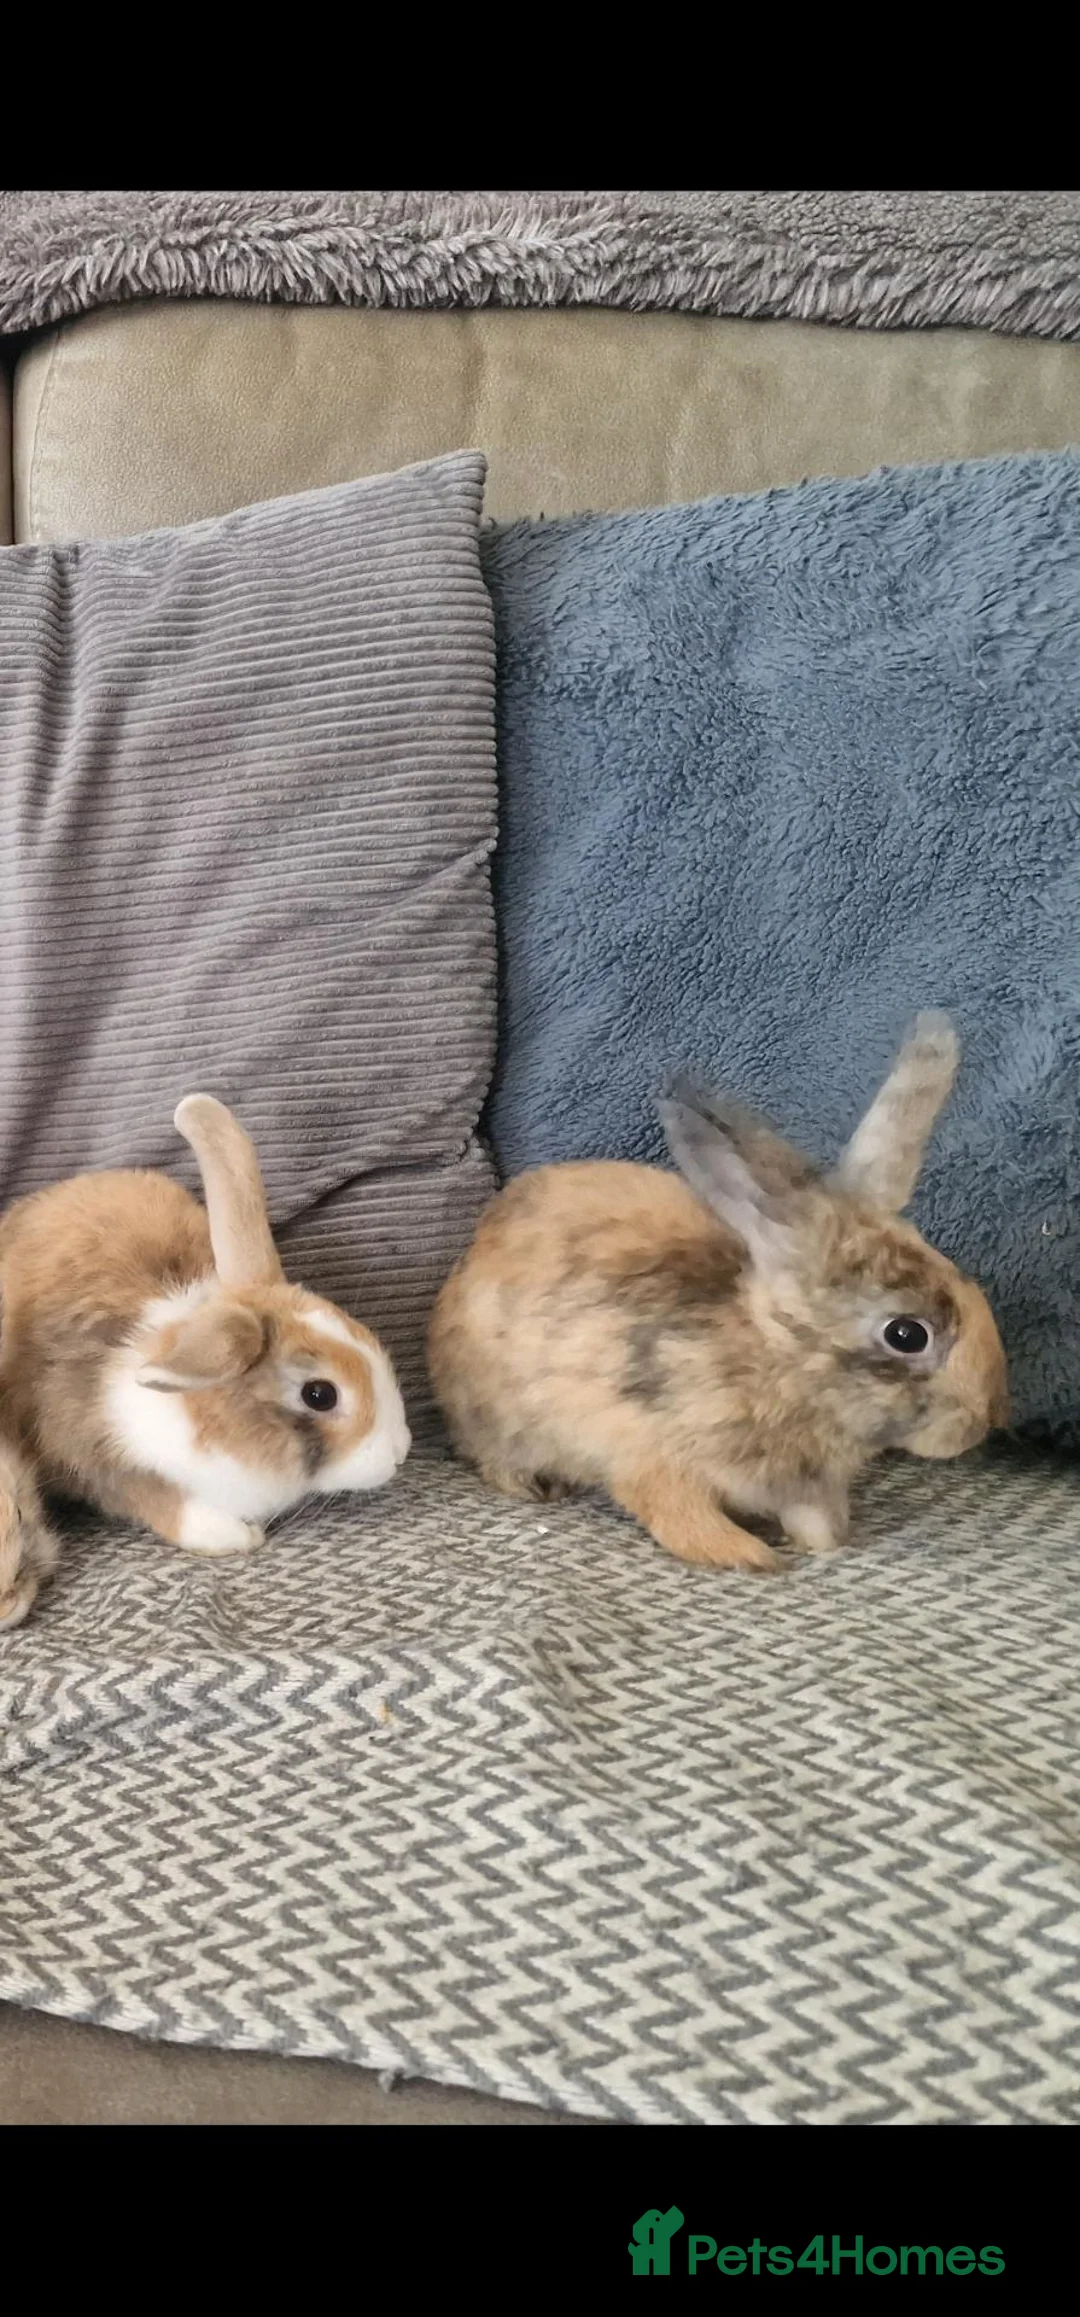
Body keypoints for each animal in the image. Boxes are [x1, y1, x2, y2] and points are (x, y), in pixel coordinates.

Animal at [428, 1014, 1009, 1573]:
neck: (777, 1365)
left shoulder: (806, 1487)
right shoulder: (654, 1456)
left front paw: (814, 1543)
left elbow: (817, 1522)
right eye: (907, 1334)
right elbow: (681, 1515)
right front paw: (753, 1557)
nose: (986, 1420)